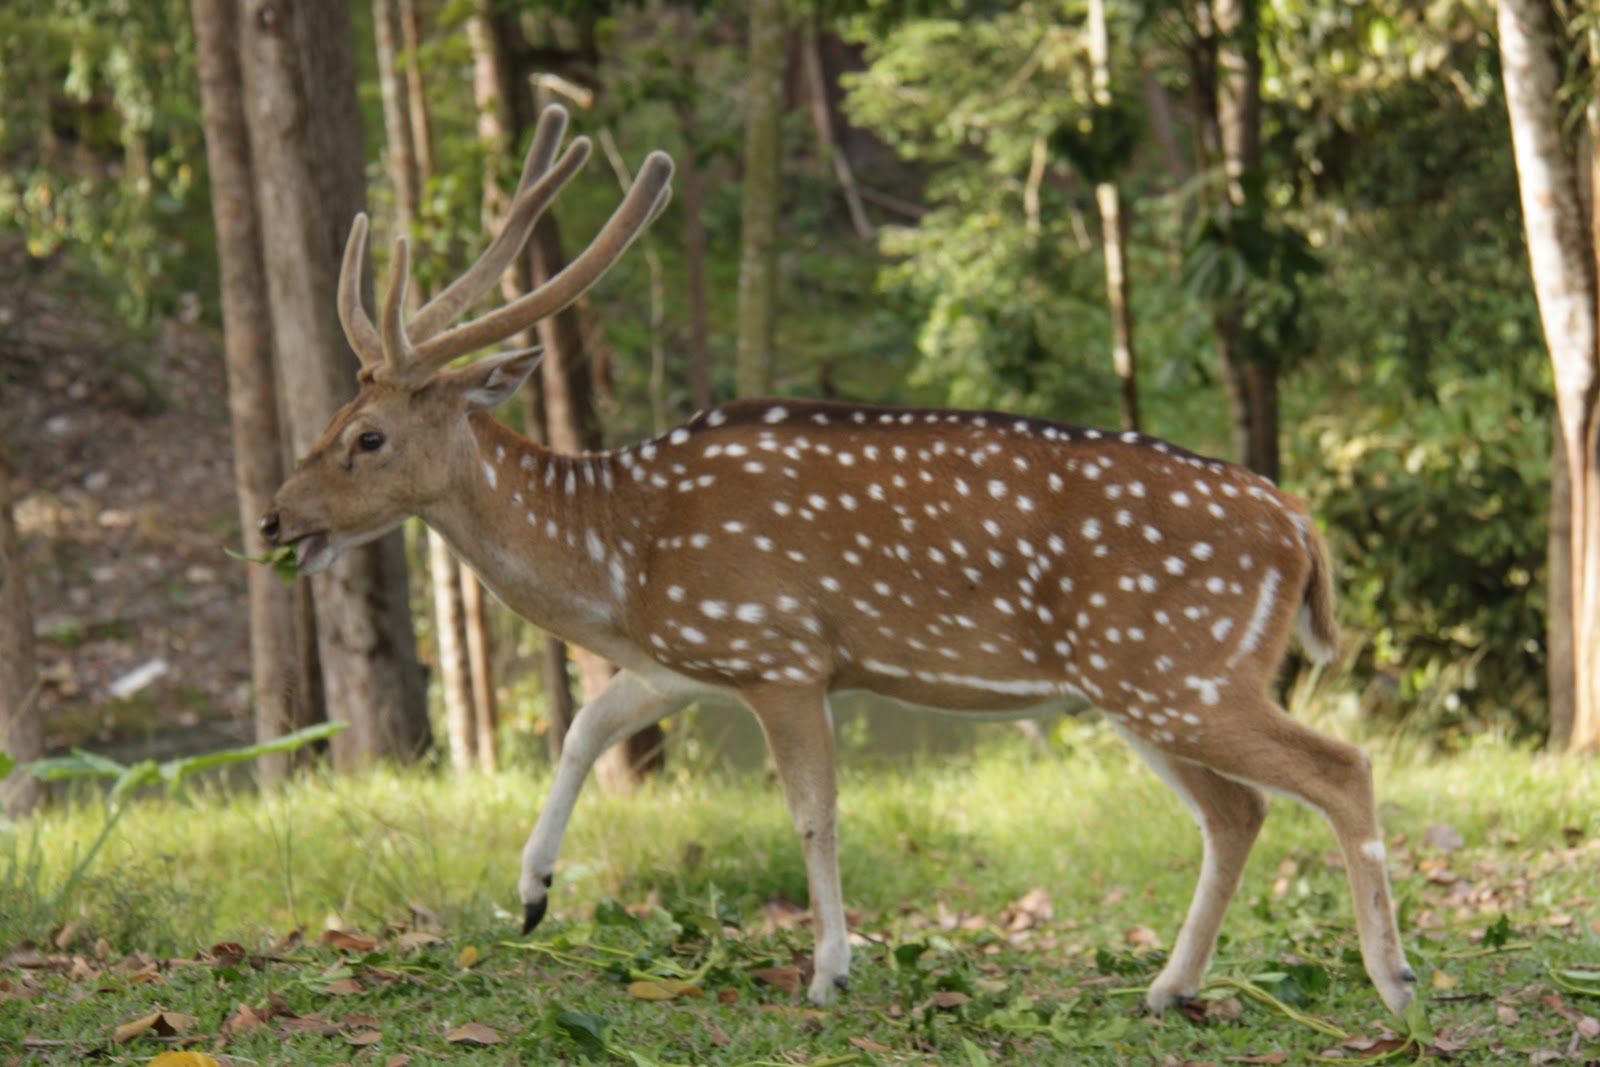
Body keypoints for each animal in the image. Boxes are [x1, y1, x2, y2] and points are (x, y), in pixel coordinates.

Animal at [259, 103, 1414, 1023]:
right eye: (330, 420)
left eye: (367, 437)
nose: (273, 519)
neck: (622, 552)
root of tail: (1299, 528)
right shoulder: (689, 653)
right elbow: (588, 723)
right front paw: (534, 892)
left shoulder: (778, 648)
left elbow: (812, 811)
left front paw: (829, 971)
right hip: (1139, 684)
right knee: (1239, 810)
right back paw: (1168, 987)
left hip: (1179, 666)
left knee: (1339, 766)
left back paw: (1392, 980)